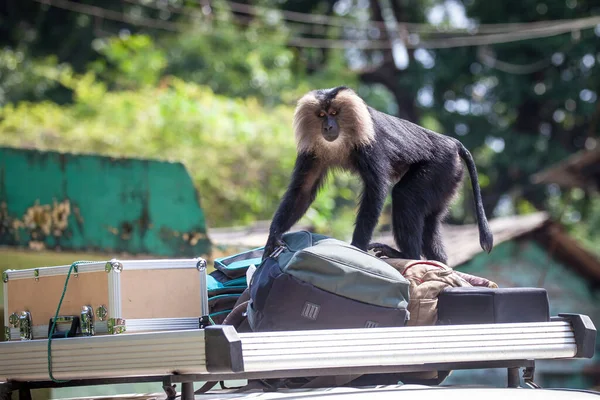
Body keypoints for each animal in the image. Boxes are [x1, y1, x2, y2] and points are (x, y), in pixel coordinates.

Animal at [264, 86, 494, 264]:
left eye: (334, 112)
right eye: (321, 115)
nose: (327, 126)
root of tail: (452, 143)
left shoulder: (370, 143)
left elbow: (376, 189)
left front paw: (355, 249)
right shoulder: (312, 152)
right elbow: (303, 191)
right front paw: (273, 240)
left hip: (440, 167)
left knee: (404, 196)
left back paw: (407, 255)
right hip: (448, 179)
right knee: (431, 221)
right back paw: (438, 262)